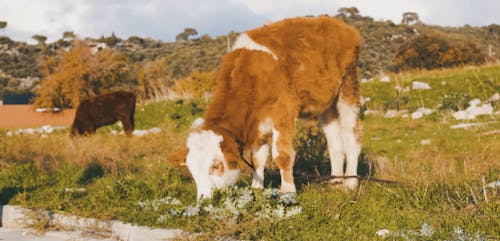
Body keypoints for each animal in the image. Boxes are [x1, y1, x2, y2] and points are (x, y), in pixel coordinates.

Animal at [170, 16, 362, 199]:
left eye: (216, 165)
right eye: (191, 169)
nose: (203, 199)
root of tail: (338, 24)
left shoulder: (283, 112)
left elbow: (283, 155)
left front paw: (288, 191)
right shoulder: (257, 124)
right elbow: (257, 158)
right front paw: (256, 188)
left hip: (348, 86)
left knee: (352, 136)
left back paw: (350, 183)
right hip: (327, 104)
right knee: (335, 142)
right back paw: (336, 182)